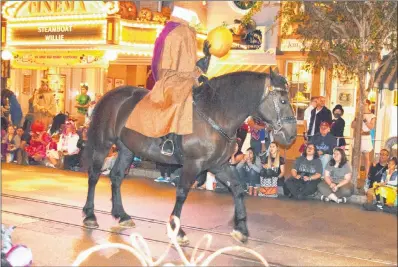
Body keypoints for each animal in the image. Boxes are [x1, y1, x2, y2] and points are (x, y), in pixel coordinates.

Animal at [81, 70, 296, 246]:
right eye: (283, 101)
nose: (292, 135)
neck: (215, 114)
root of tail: (111, 96)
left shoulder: (218, 165)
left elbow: (237, 188)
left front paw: (241, 228)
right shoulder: (193, 164)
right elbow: (182, 193)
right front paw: (177, 231)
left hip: (127, 150)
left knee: (116, 177)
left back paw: (122, 215)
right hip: (103, 145)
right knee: (93, 176)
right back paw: (90, 215)